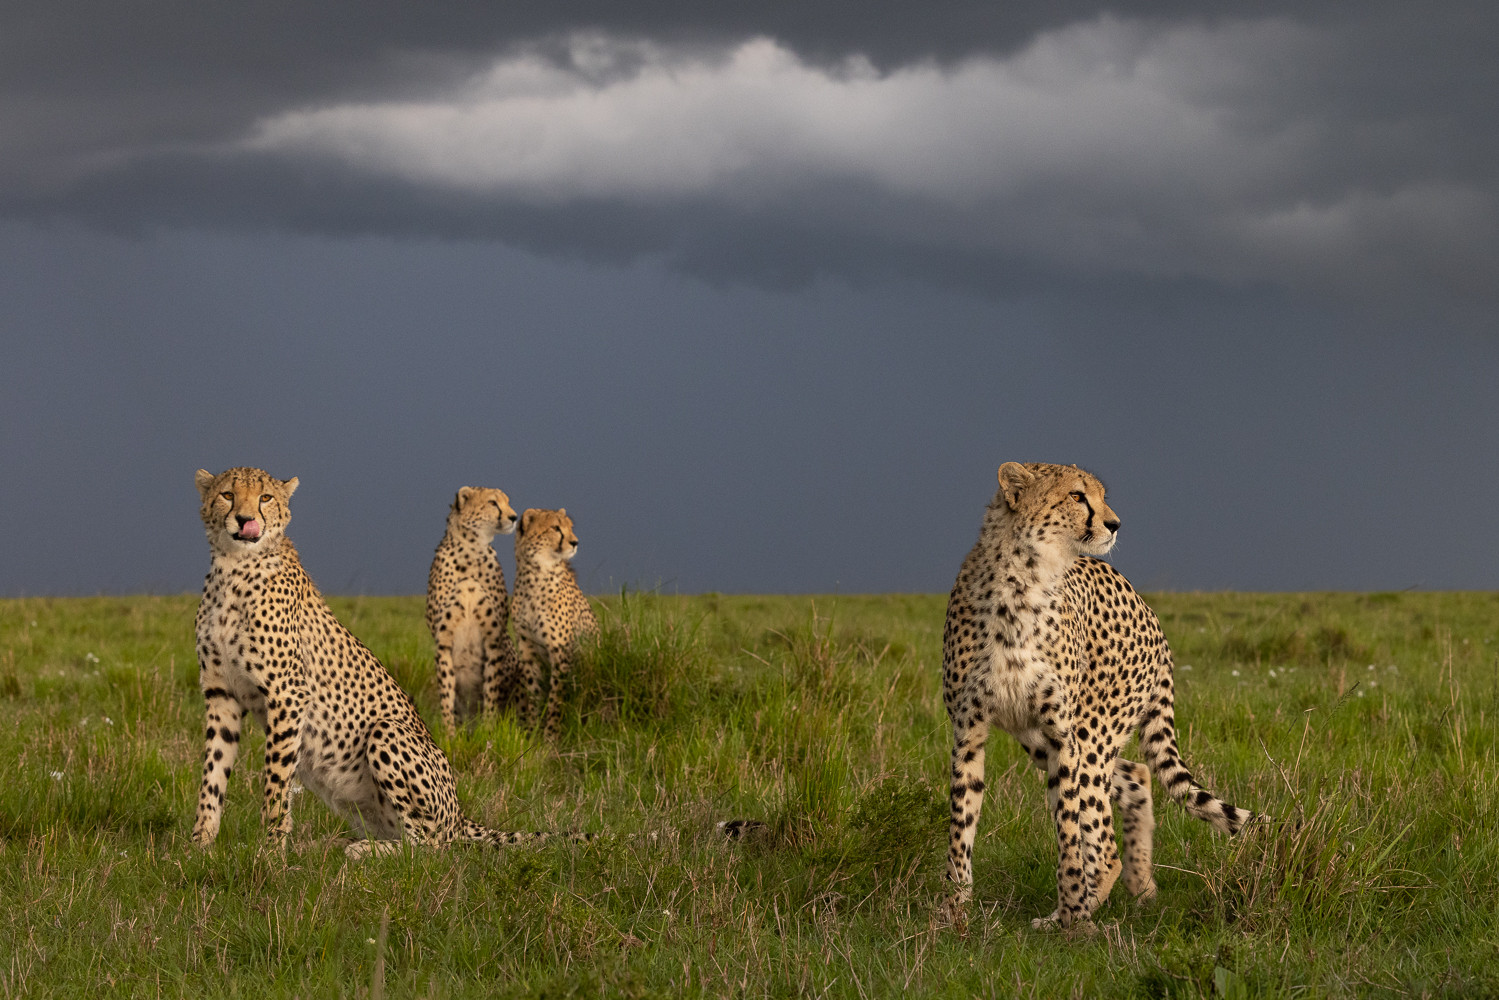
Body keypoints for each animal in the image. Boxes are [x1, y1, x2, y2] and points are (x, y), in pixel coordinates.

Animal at [426, 487, 521, 736]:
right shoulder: (443, 640)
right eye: (493, 503)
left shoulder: (494, 639)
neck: (470, 551)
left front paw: (488, 730)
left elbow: (491, 689)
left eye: (508, 502)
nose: (514, 517)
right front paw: (450, 734)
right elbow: (446, 691)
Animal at [510, 508, 599, 740]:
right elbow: (534, 693)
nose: (575, 542)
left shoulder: (561, 651)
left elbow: (556, 698)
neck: (534, 573)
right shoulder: (528, 649)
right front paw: (533, 733)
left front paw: (551, 736)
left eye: (570, 527)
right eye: (556, 528)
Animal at [942, 462, 1254, 931]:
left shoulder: (1061, 734)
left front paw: (1073, 918)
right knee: (1135, 777)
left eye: (1101, 496)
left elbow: (1070, 833)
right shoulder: (969, 731)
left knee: (1104, 841)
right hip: (1046, 741)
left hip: (1088, 735)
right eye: (1076, 496)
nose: (1114, 523)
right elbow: (961, 824)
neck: (1024, 576)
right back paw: (1140, 886)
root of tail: (1151, 613)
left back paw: (1080, 908)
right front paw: (952, 912)